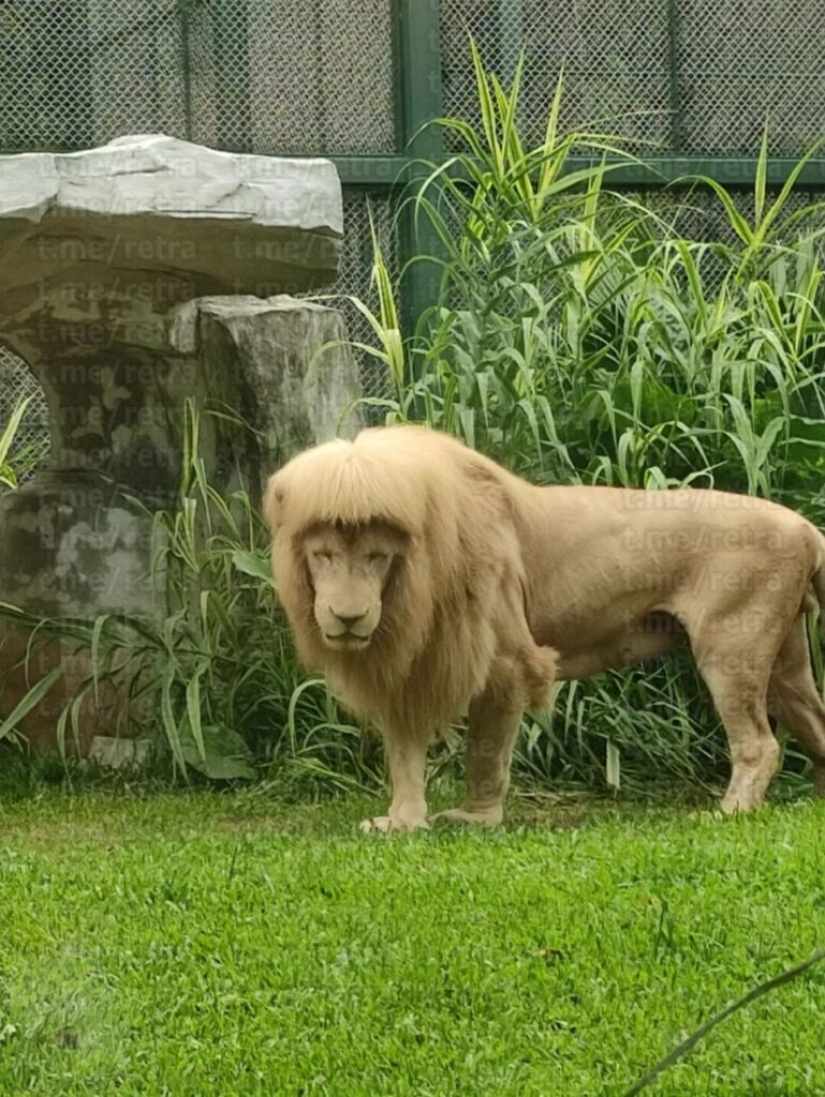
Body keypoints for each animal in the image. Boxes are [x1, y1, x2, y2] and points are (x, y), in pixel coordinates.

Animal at [264, 424, 825, 831]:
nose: (348, 617)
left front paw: (476, 819)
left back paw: (728, 812)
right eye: (324, 555)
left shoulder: (507, 662)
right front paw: (401, 822)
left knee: (760, 745)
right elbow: (404, 755)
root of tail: (805, 526)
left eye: (377, 557)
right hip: (786, 664)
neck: (411, 587)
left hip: (731, 647)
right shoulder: (408, 668)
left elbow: (486, 751)